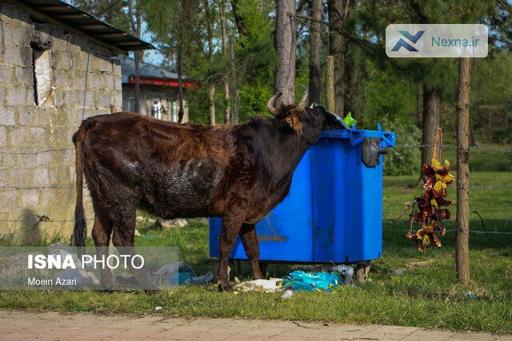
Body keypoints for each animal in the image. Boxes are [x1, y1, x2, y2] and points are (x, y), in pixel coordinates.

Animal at [73, 93, 344, 290]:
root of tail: (94, 121)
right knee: (122, 240)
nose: (332, 115)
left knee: (100, 235)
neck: (271, 151)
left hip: (100, 196)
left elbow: (253, 248)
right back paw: (146, 285)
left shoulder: (249, 213)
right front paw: (223, 282)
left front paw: (259, 279)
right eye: (310, 112)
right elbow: (226, 244)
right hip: (123, 196)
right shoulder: (236, 207)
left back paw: (108, 285)